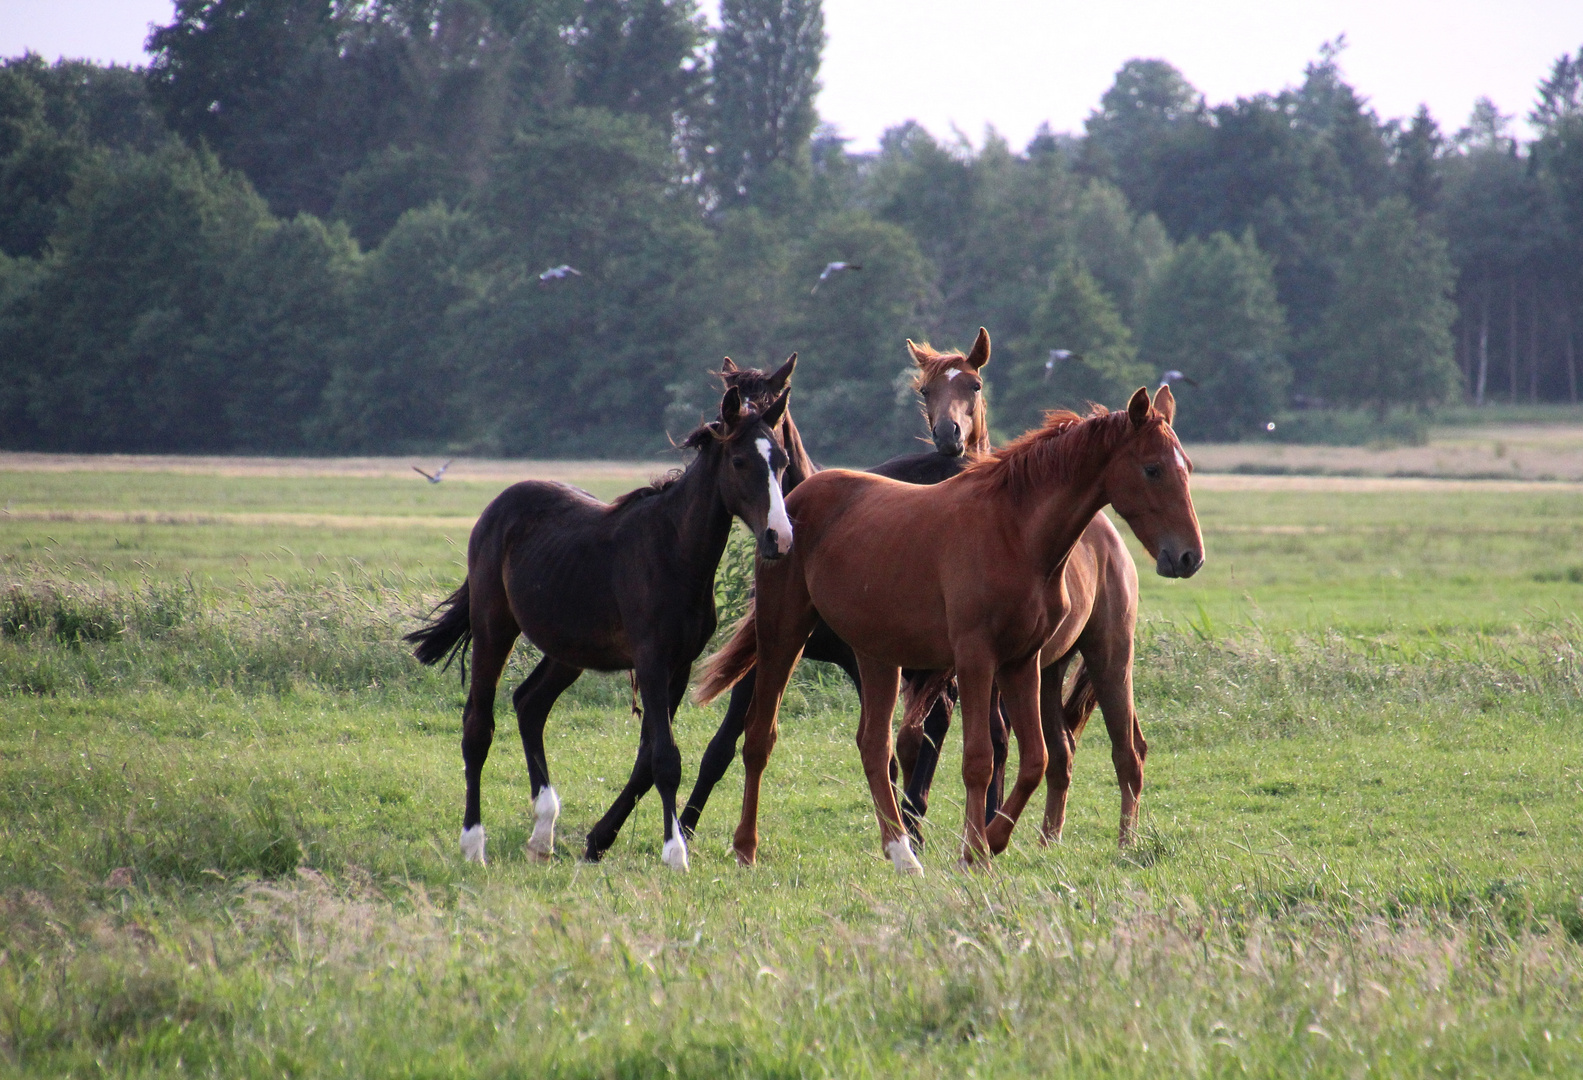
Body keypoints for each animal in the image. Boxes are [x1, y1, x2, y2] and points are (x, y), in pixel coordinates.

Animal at [408, 384, 791, 867]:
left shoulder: (678, 666)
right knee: (478, 725)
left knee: (529, 704)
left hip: (568, 650)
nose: (780, 538)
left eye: (782, 461)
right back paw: (474, 844)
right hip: (494, 626)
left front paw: (612, 841)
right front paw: (675, 855)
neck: (674, 551)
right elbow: (666, 759)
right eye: (740, 461)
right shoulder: (650, 660)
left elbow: (648, 759)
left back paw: (543, 832)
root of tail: (496, 507)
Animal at [702, 384, 1196, 867]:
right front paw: (974, 850)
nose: (1189, 556)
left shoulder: (1022, 662)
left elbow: (1033, 759)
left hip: (885, 656)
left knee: (875, 746)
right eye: (1152, 469)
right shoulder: (976, 658)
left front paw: (991, 841)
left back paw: (902, 853)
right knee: (759, 737)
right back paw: (746, 847)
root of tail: (792, 508)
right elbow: (979, 759)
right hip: (782, 635)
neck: (1014, 532)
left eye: (1187, 467)